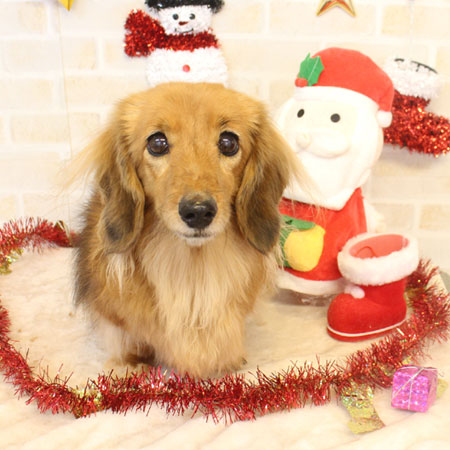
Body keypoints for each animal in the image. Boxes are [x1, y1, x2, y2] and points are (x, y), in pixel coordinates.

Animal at [73, 82, 299, 378]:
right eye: (157, 143)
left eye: (229, 142)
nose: (199, 212)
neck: (193, 271)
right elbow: (126, 339)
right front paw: (129, 364)